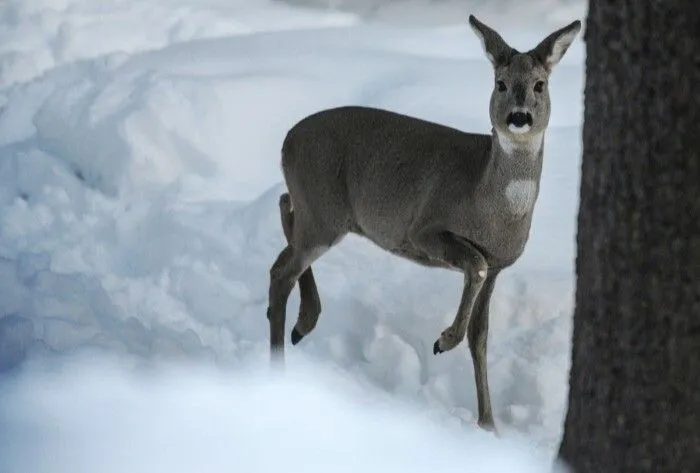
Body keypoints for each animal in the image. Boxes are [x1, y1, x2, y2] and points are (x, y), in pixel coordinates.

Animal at [266, 14, 584, 430]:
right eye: (500, 82)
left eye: (539, 85)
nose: (519, 117)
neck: (490, 204)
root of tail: (286, 140)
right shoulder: (425, 229)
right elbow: (475, 267)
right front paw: (442, 340)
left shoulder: (501, 263)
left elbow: (481, 335)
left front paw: (489, 424)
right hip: (323, 211)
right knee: (281, 270)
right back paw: (281, 362)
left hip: (319, 211)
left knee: (284, 218)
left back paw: (303, 323)